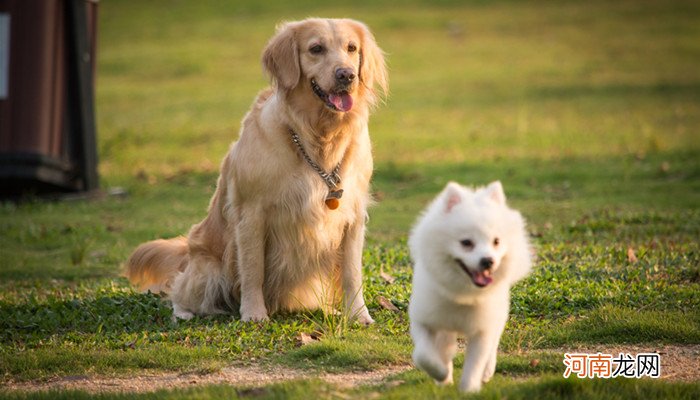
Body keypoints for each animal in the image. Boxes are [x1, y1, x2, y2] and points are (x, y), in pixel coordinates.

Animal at [408, 182, 532, 394]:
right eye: (466, 243)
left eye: (496, 241)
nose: (488, 260)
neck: (463, 295)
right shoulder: (424, 320)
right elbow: (424, 355)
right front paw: (441, 373)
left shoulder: (482, 330)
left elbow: (476, 362)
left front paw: (469, 389)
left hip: (498, 316)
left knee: (493, 346)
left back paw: (487, 372)